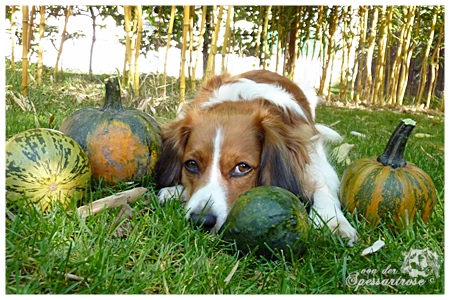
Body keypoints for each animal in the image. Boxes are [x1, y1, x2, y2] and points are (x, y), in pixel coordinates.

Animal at [155, 69, 358, 246]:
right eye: (191, 164)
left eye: (242, 167)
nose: (201, 220)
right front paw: (175, 190)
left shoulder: (317, 162)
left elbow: (325, 190)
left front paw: (334, 223)